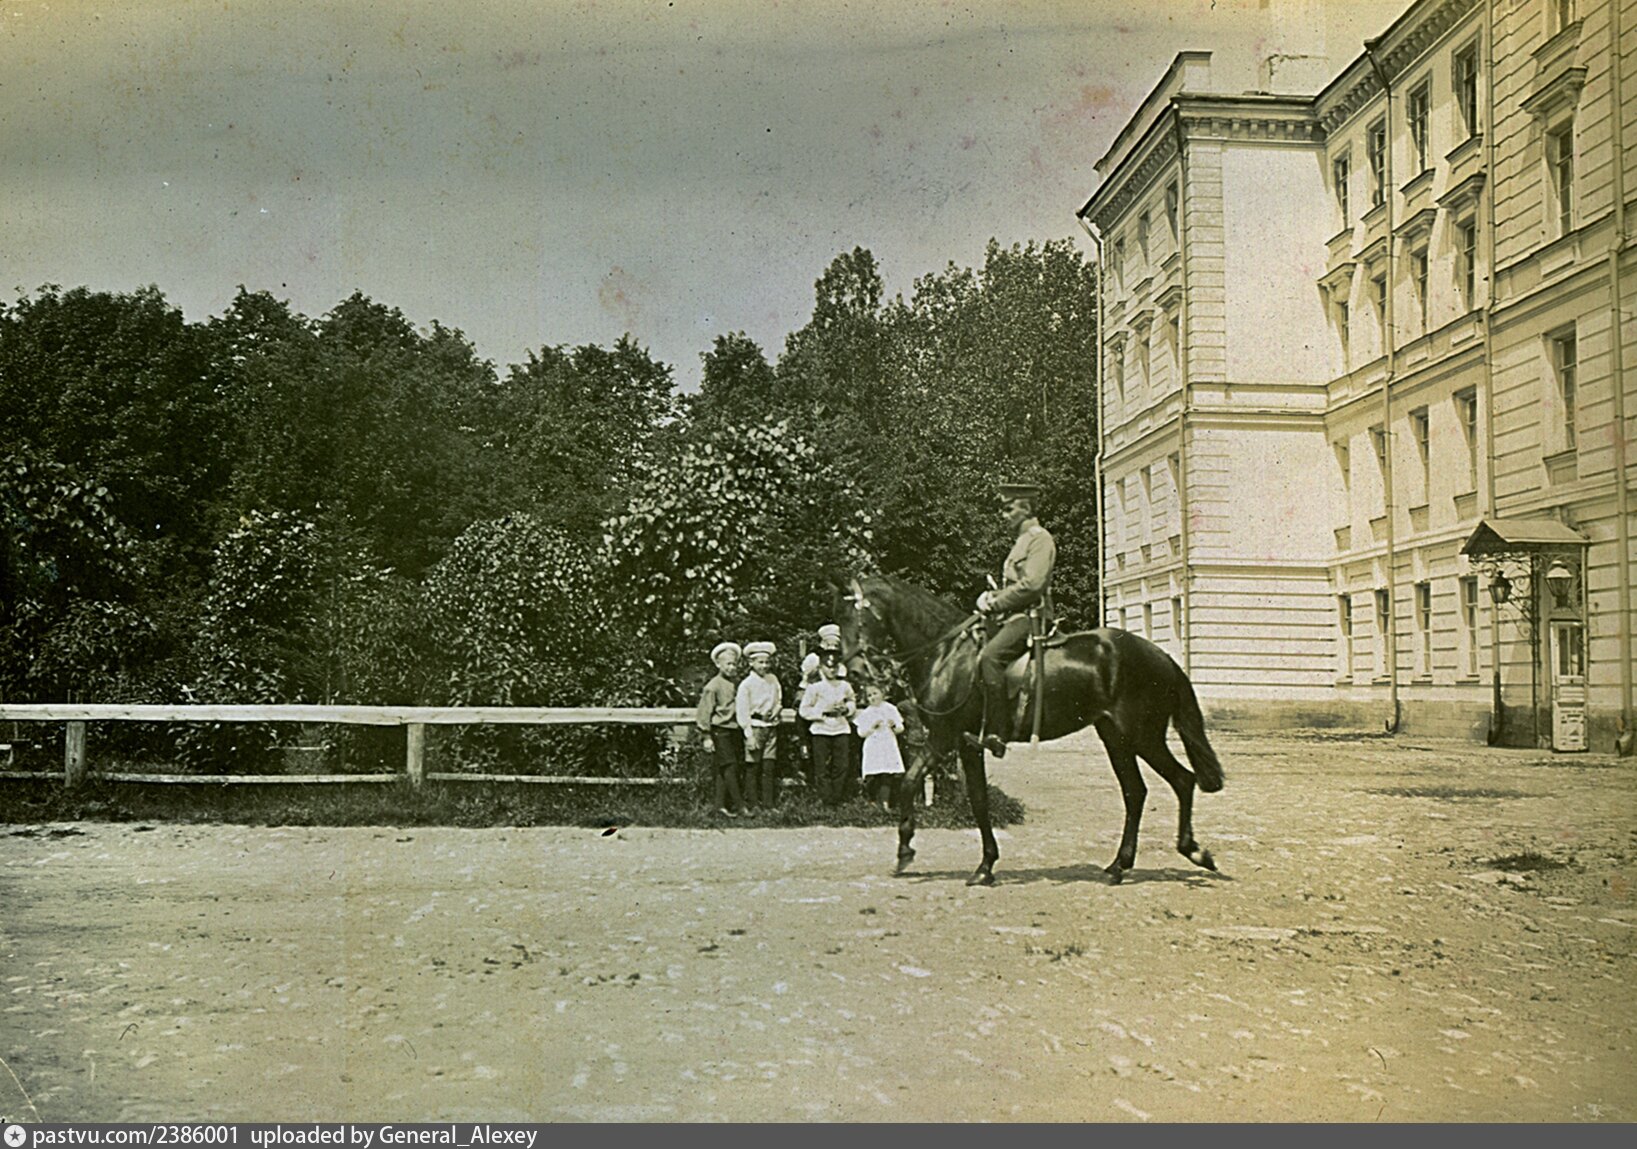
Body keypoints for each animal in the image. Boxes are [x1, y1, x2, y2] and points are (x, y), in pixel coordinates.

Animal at [836, 573, 1224, 886]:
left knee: (1182, 780)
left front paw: (913, 852)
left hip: (1142, 736)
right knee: (1136, 792)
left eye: (858, 617)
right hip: (1116, 738)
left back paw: (1193, 852)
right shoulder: (961, 743)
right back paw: (1119, 866)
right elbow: (971, 798)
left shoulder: (947, 739)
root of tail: (1161, 656)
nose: (854, 672)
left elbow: (915, 784)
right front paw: (980, 864)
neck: (947, 654)